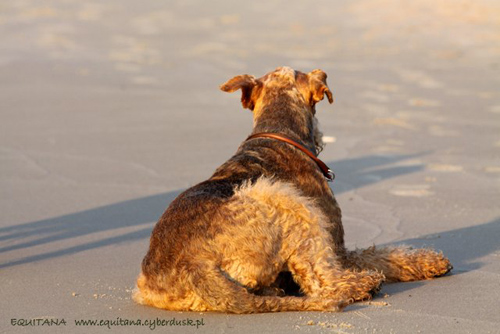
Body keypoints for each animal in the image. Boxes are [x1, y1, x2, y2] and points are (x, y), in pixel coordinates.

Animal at [133, 66, 454, 314]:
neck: (278, 133)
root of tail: (193, 266)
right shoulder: (338, 248)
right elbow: (381, 255)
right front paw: (431, 261)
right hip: (285, 199)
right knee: (324, 282)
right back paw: (364, 284)